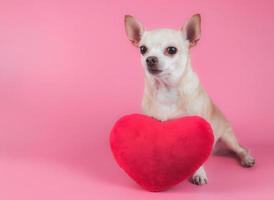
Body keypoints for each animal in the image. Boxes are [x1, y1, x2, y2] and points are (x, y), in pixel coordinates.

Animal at [124, 14, 255, 186]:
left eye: (171, 50)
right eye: (142, 49)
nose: (150, 59)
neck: (167, 89)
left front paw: (198, 173)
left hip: (228, 138)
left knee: (240, 149)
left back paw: (246, 158)